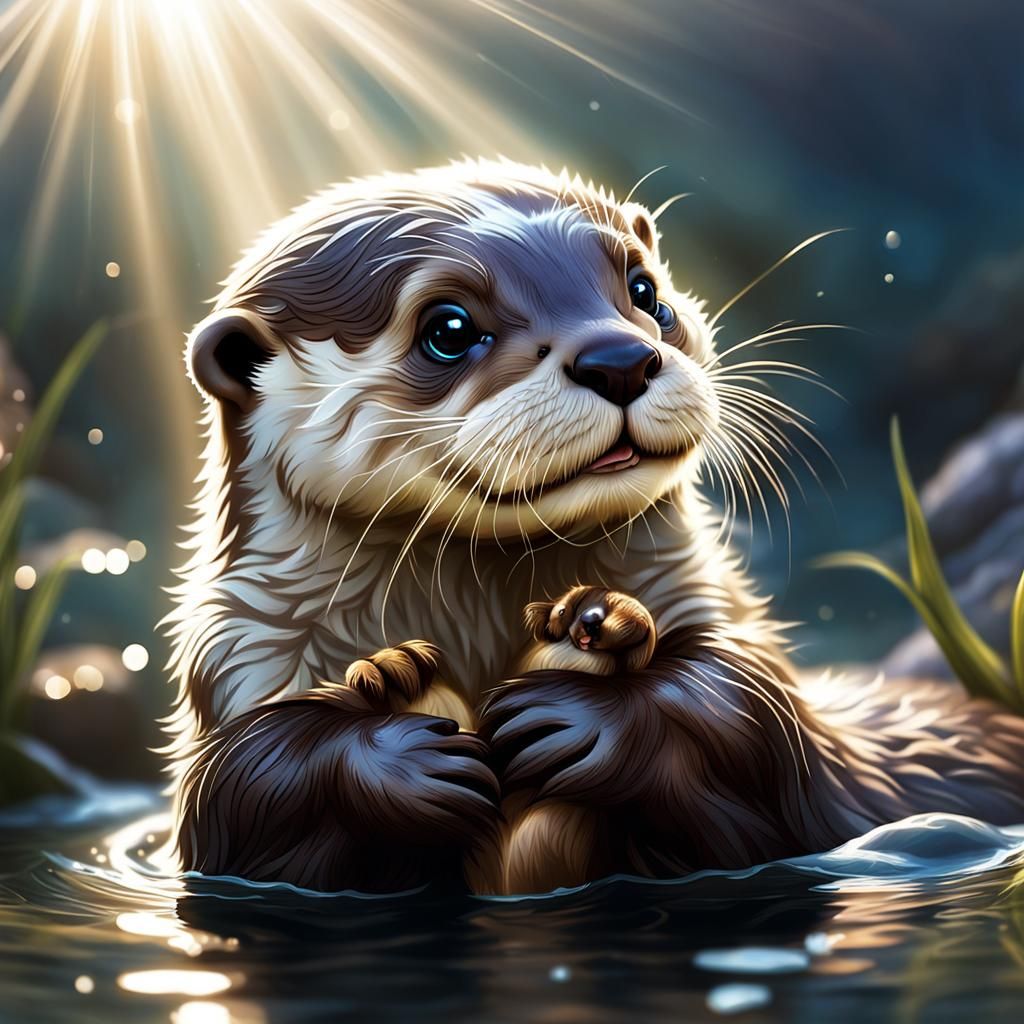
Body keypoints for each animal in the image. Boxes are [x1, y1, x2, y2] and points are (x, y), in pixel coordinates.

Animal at [168, 159, 1024, 894]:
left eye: (644, 289)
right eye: (448, 328)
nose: (619, 359)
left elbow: (749, 716)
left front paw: (588, 706)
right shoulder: (245, 658)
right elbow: (238, 790)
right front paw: (392, 742)